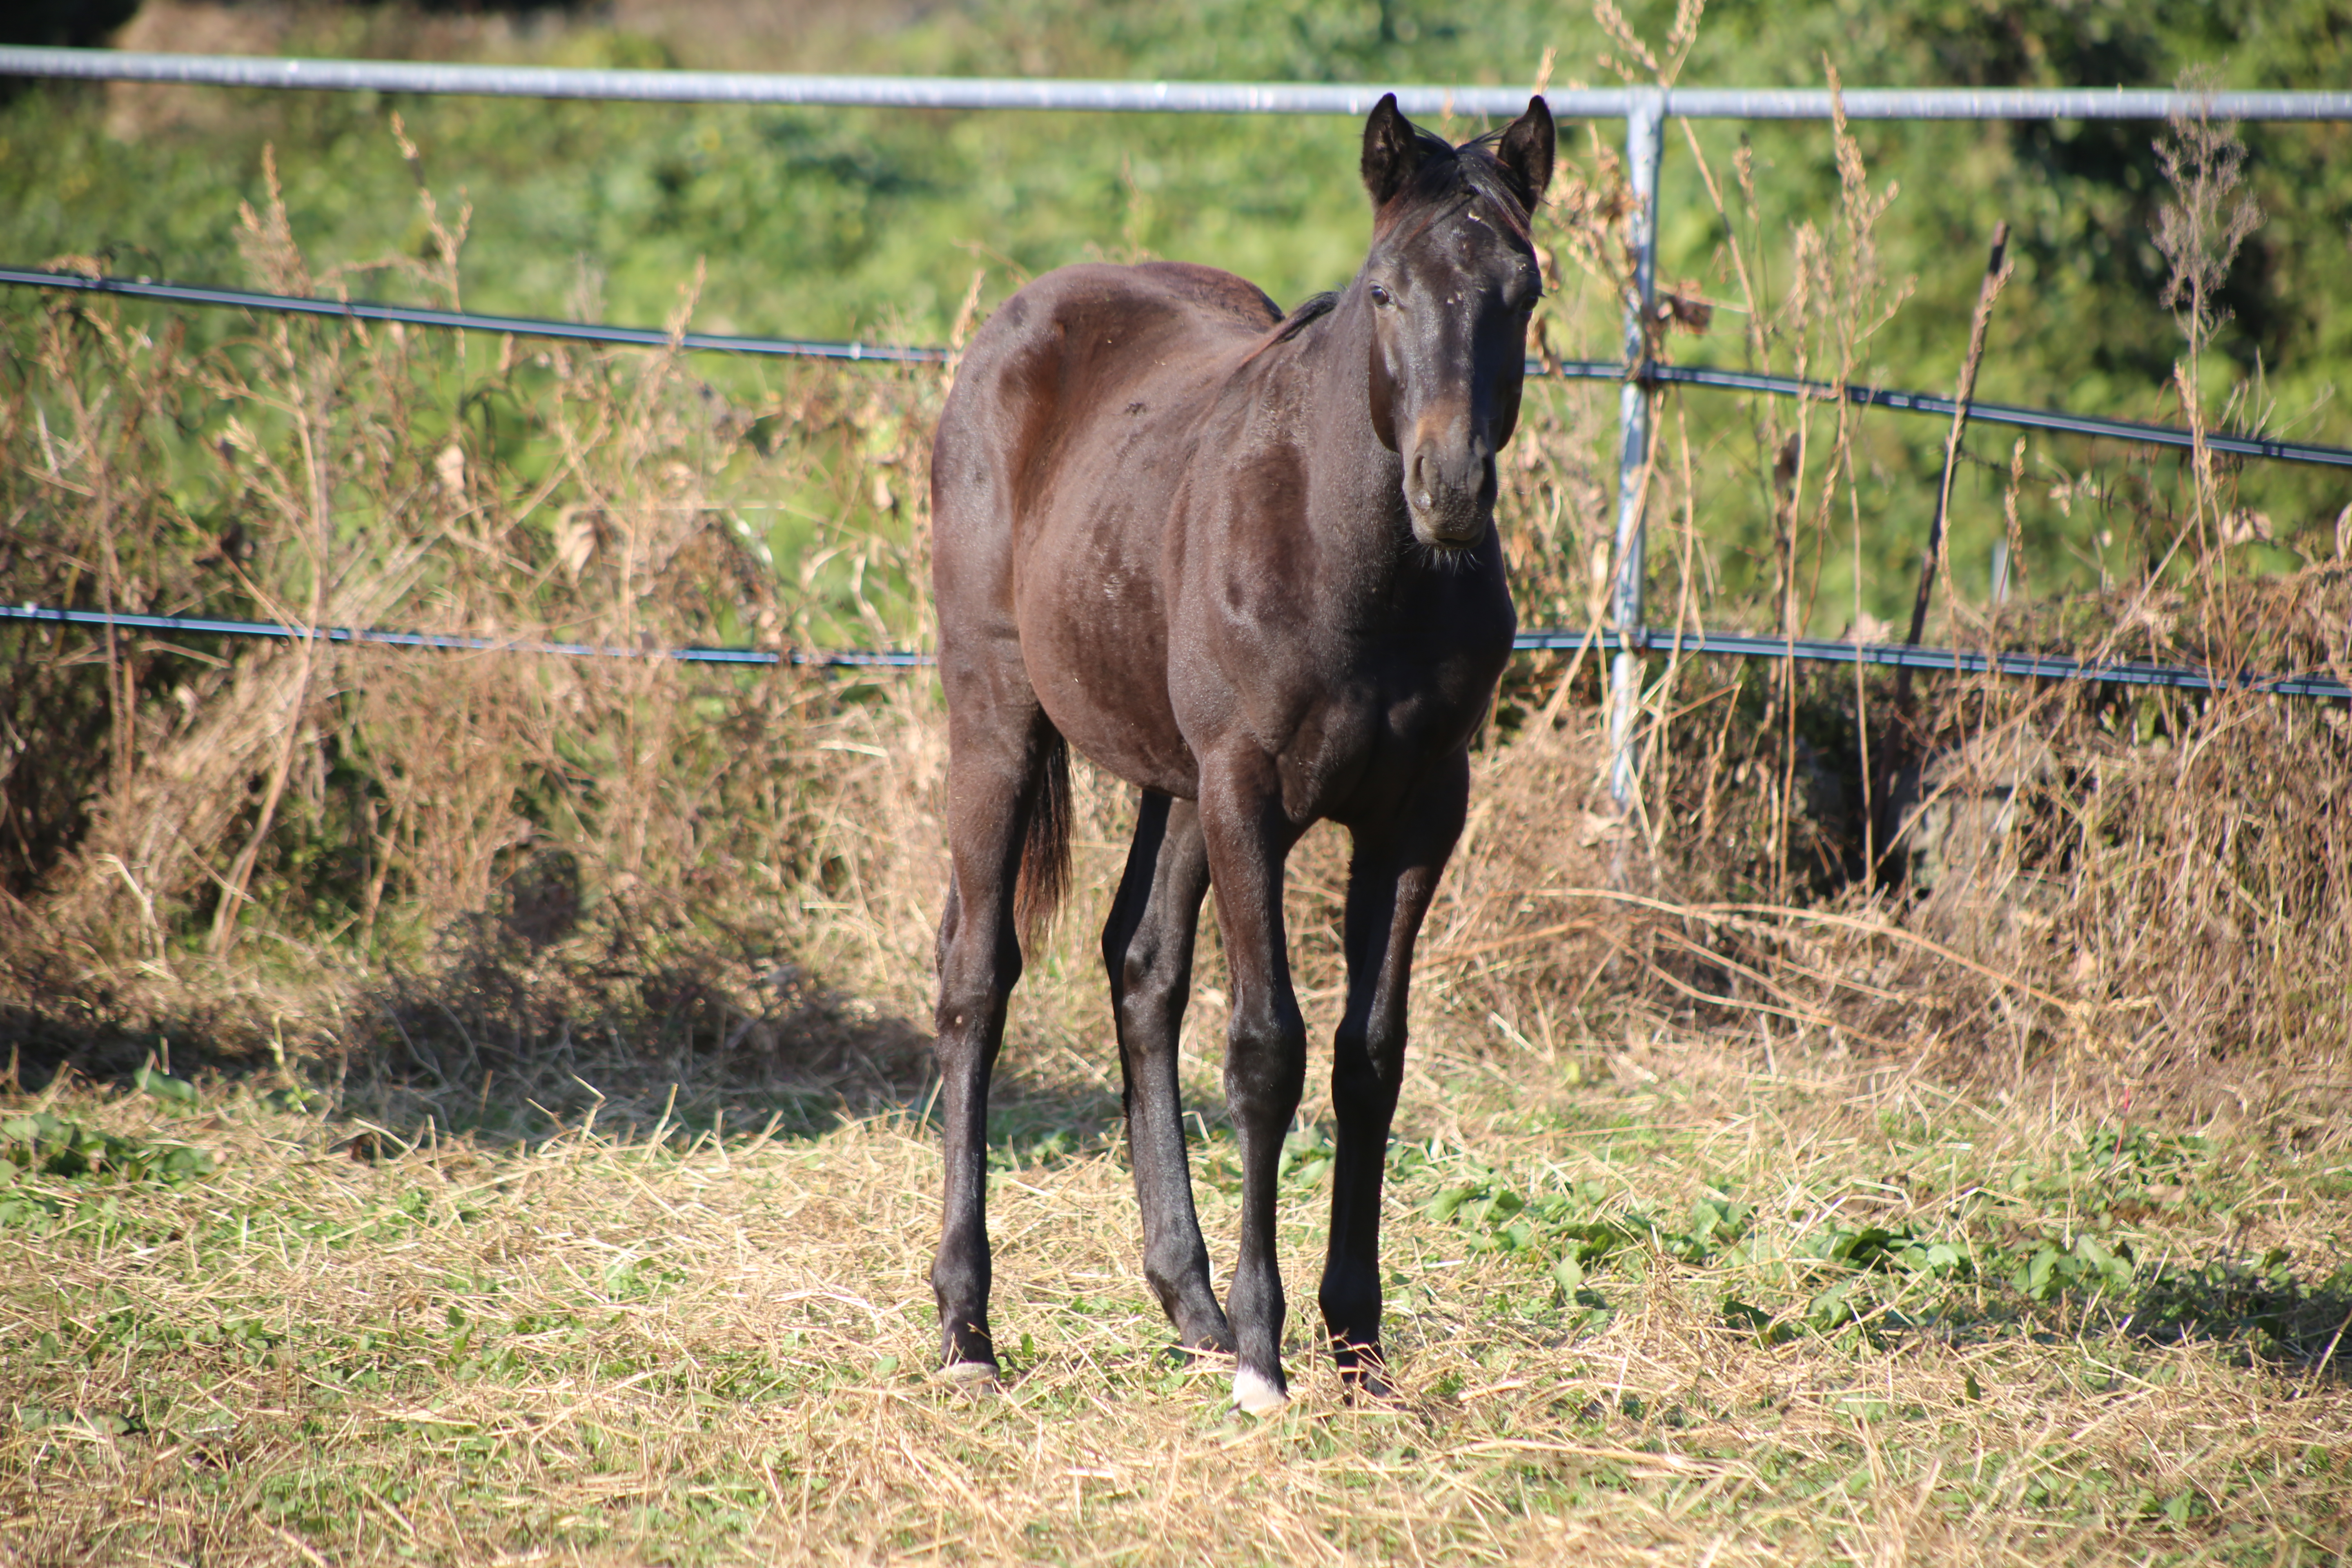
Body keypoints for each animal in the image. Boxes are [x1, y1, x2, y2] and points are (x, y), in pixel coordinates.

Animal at [927, 92, 1552, 1420]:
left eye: (1523, 291)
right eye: (1385, 290)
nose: (1449, 490)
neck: (1348, 560)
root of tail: (1024, 317)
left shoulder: (1420, 810)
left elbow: (1370, 1056)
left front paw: (1356, 1343)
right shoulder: (1250, 793)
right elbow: (1268, 1049)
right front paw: (1271, 1359)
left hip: (1169, 779)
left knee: (1139, 968)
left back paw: (1192, 1307)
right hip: (1002, 716)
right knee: (975, 977)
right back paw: (967, 1326)